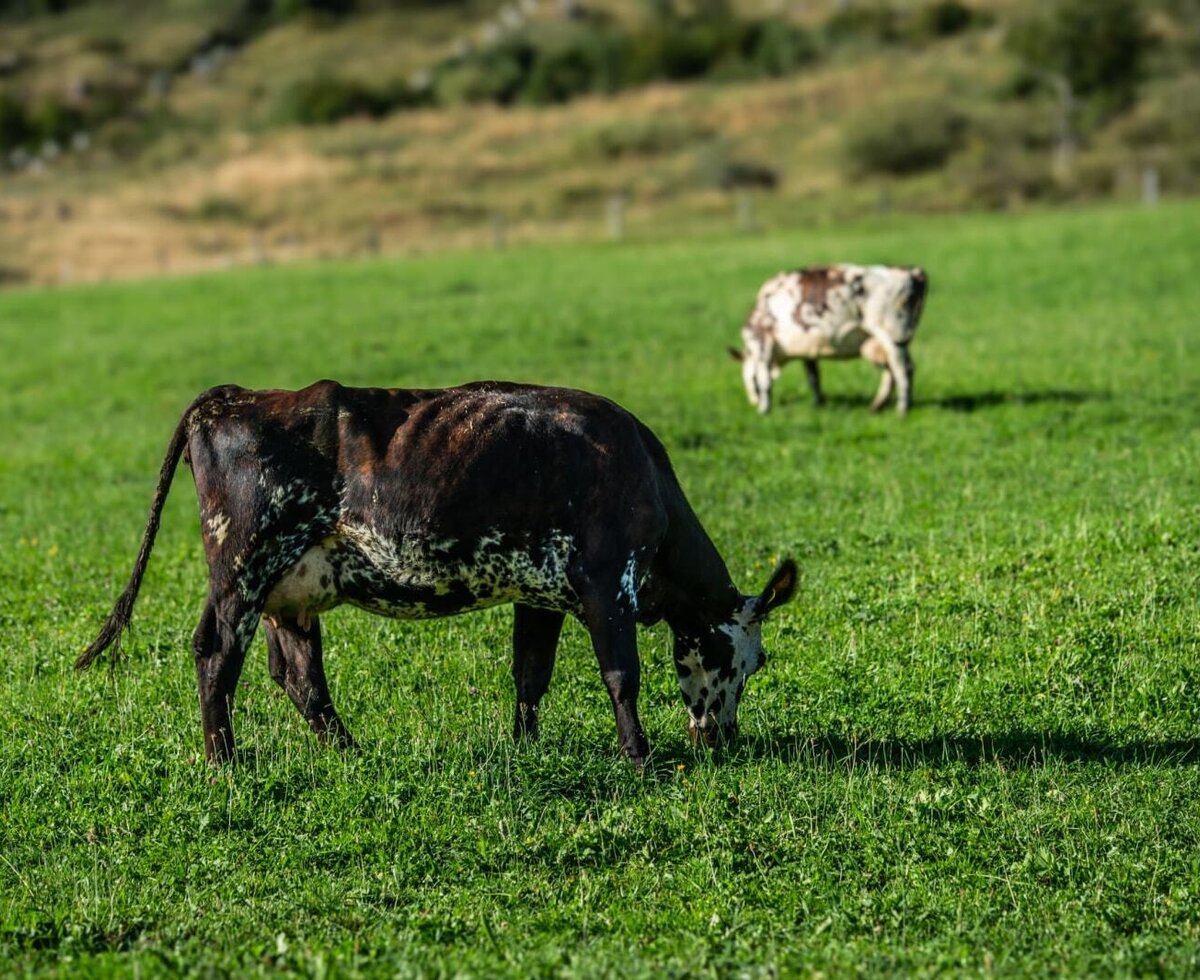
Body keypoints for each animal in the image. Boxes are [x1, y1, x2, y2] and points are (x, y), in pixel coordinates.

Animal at [79, 380, 797, 767]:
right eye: (747, 659)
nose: (722, 736)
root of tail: (231, 398)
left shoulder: (542, 592)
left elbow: (531, 672)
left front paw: (525, 744)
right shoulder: (605, 582)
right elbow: (622, 675)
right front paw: (640, 756)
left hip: (291, 588)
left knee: (299, 675)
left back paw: (349, 752)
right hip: (242, 566)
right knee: (217, 653)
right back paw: (225, 760)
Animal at [728, 264, 928, 415]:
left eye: (749, 380)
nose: (752, 402)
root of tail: (911, 272)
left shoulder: (761, 343)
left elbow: (764, 380)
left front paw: (764, 409)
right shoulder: (807, 351)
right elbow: (813, 378)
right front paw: (818, 404)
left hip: (892, 337)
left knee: (902, 371)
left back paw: (902, 409)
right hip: (881, 343)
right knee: (894, 371)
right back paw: (878, 406)